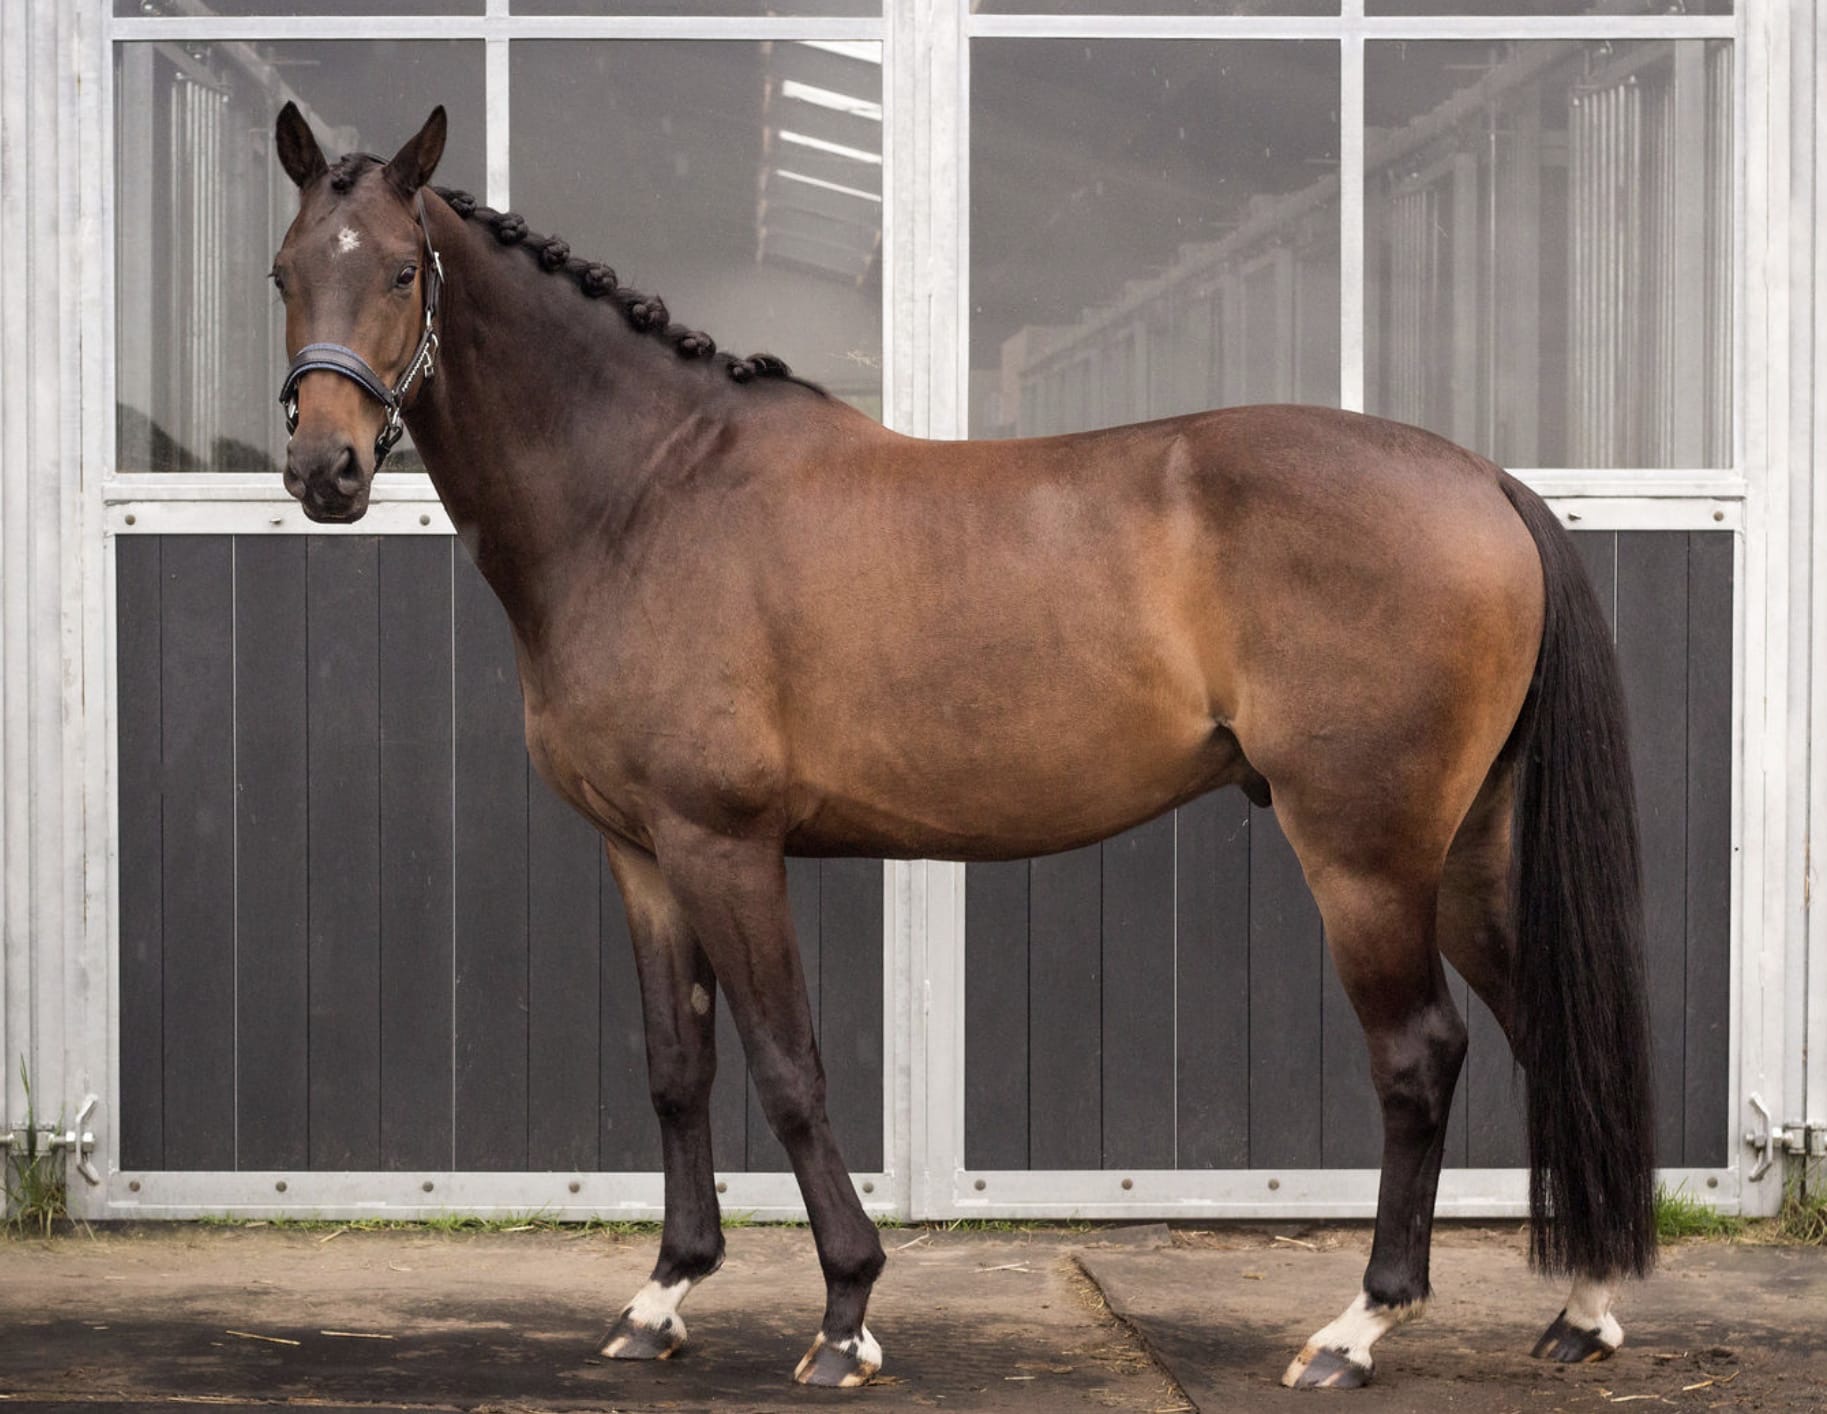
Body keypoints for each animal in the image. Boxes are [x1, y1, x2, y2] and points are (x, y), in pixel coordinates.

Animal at [267, 102, 1657, 1391]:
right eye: (284, 271)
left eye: (401, 271)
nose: (326, 469)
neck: (647, 494)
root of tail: (1483, 481)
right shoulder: (642, 854)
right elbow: (678, 1067)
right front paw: (662, 1297)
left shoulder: (725, 845)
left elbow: (788, 1068)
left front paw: (845, 1313)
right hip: (1469, 853)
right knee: (1547, 1035)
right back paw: (1582, 1309)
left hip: (1367, 855)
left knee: (1421, 1055)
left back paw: (1358, 1329)